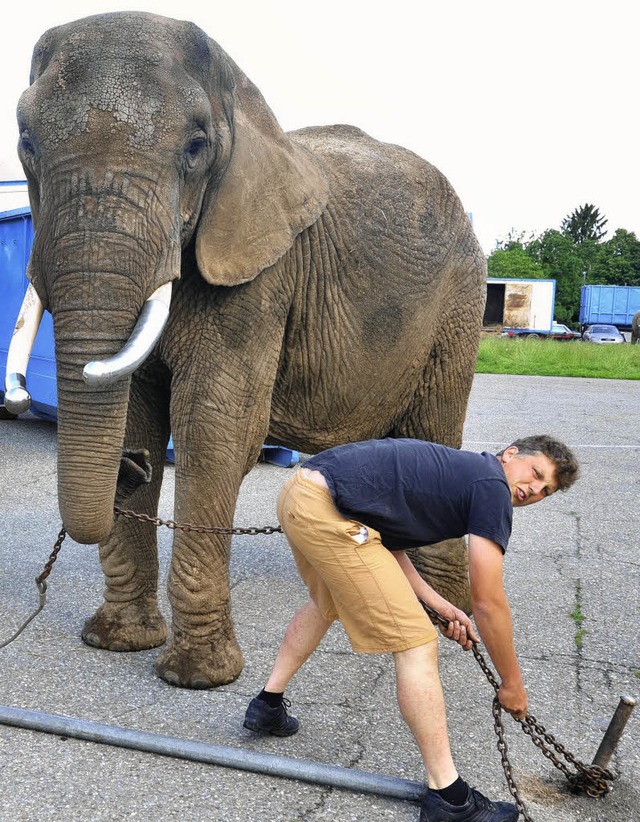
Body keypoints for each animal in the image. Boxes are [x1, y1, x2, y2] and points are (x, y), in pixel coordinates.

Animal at [6, 12, 484, 688]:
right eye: (26, 142)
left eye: (196, 146)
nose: (132, 470)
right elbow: (138, 412)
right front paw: (116, 641)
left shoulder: (261, 272)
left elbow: (214, 426)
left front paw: (198, 676)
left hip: (458, 301)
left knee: (432, 434)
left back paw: (444, 623)